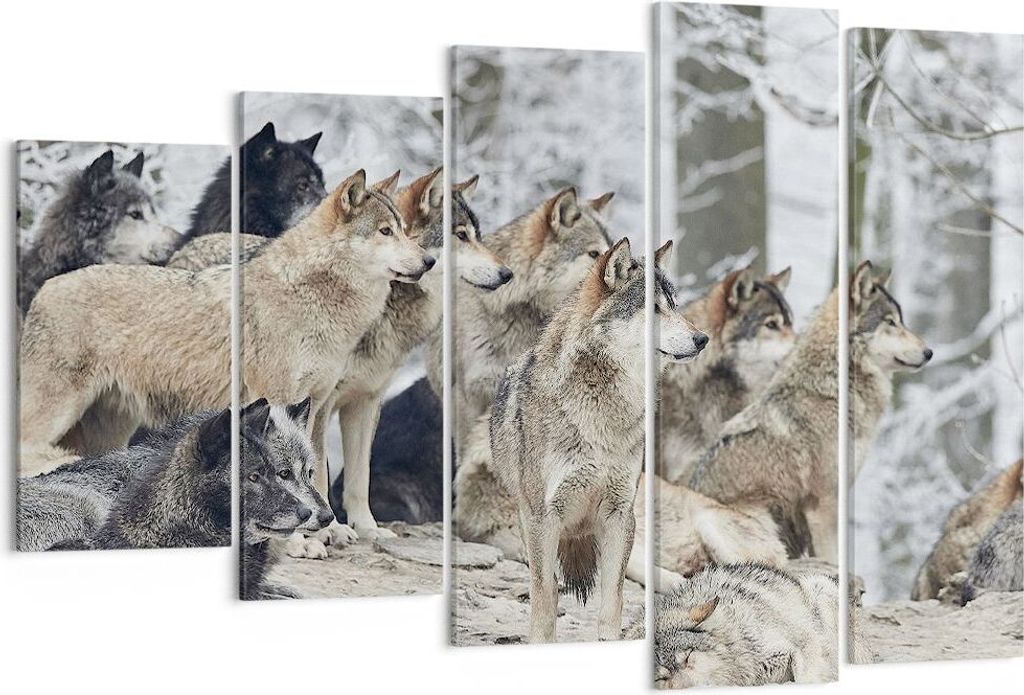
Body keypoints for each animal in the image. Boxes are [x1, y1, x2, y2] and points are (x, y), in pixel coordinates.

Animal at [19, 169, 431, 509]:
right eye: (385, 232)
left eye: (404, 230)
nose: (430, 262)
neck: (310, 295)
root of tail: (44, 288)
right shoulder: (278, 399)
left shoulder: (316, 404)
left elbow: (314, 472)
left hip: (110, 431)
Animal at [490, 239, 706, 642]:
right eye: (652, 309)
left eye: (675, 306)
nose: (702, 339)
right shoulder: (544, 518)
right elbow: (544, 597)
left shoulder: (620, 514)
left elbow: (613, 596)